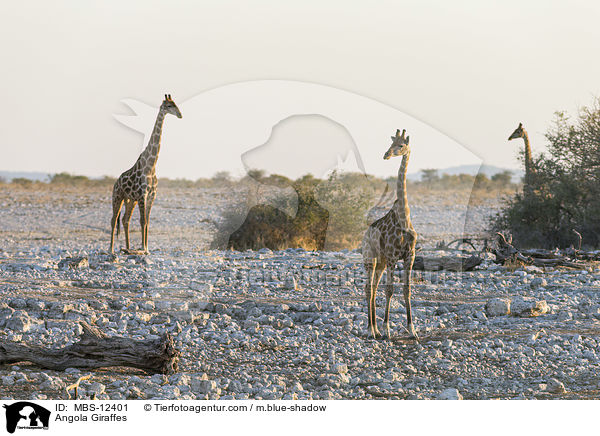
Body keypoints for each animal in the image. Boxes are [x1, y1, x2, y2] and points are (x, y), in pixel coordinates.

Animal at [109, 93, 182, 254]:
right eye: (169, 105)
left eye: (176, 104)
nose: (180, 115)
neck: (151, 166)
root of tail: (116, 182)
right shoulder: (143, 195)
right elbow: (143, 221)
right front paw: (143, 247)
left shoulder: (151, 195)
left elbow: (147, 221)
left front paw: (146, 248)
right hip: (118, 197)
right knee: (113, 220)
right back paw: (110, 249)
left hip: (131, 200)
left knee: (125, 219)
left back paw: (128, 248)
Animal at [360, 129, 418, 340]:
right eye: (391, 143)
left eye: (401, 145)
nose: (386, 154)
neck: (404, 217)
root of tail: (365, 234)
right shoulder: (393, 256)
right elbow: (390, 290)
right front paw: (387, 329)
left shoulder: (410, 256)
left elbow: (407, 290)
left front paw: (412, 330)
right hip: (370, 258)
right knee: (369, 288)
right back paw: (371, 330)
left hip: (381, 261)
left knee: (374, 287)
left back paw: (375, 328)